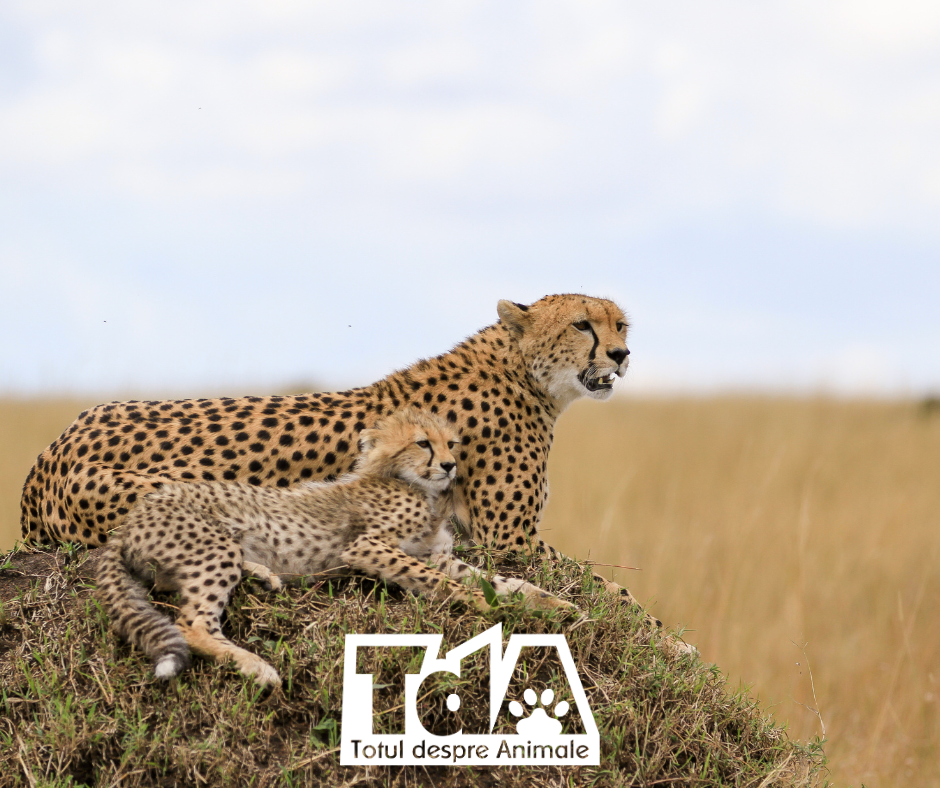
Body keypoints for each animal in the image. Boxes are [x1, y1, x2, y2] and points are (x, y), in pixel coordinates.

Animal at [21, 293, 684, 642]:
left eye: (621, 324)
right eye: (582, 324)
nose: (622, 354)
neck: (524, 372)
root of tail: (53, 447)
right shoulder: (509, 540)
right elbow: (611, 587)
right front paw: (668, 639)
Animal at [96, 409, 571, 686]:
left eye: (450, 443)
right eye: (423, 443)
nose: (451, 465)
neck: (413, 485)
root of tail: (130, 520)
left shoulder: (437, 556)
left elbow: (503, 581)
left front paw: (555, 605)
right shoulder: (367, 547)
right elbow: (450, 586)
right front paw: (491, 609)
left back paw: (264, 576)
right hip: (209, 548)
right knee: (192, 623)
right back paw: (256, 666)